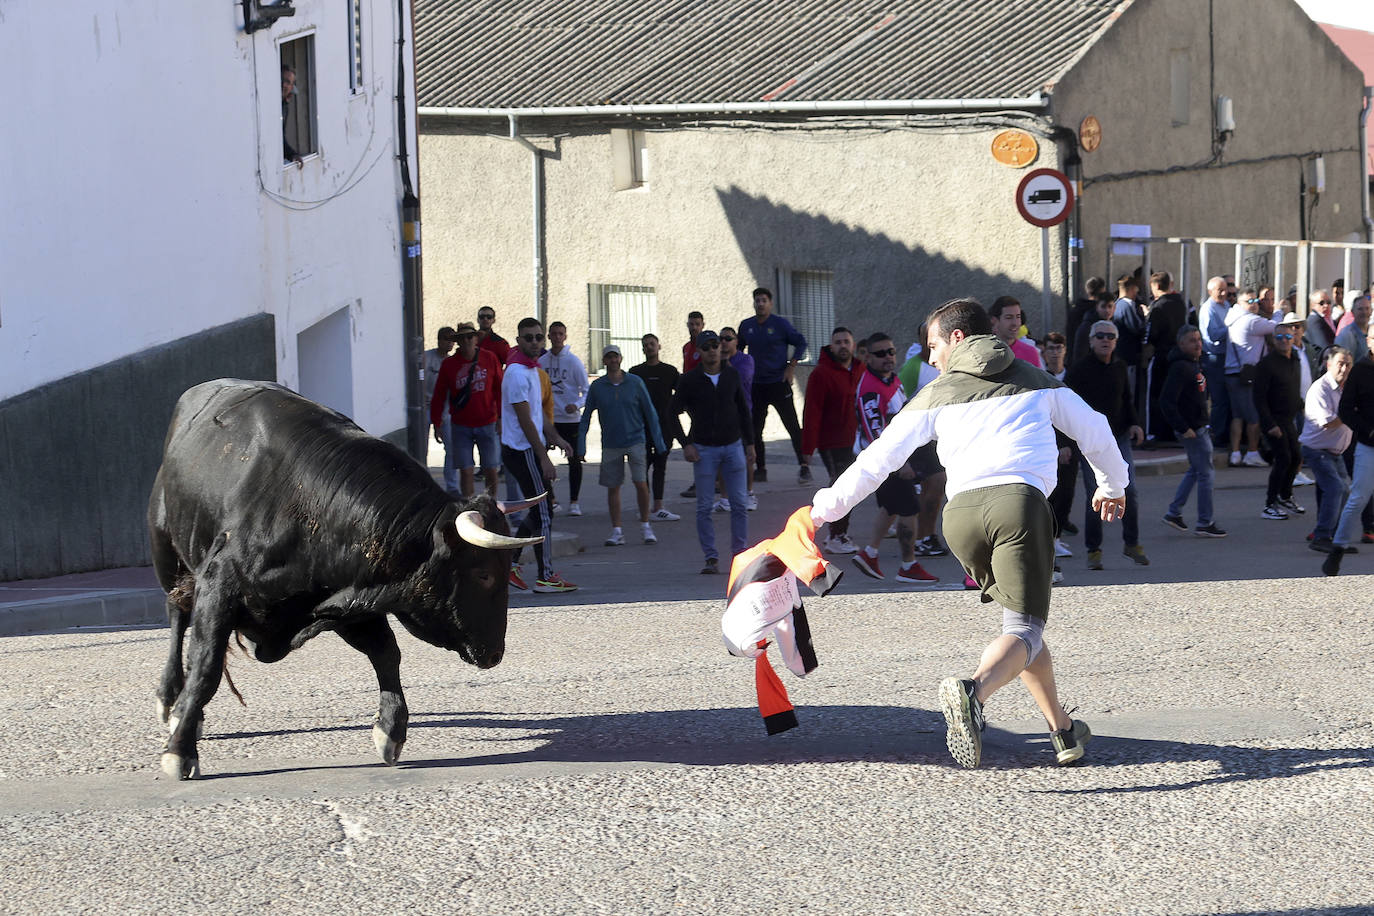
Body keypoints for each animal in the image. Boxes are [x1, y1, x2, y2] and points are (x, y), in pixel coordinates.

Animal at [147, 379, 538, 780]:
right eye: (484, 574)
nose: (494, 653)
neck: (309, 506)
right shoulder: (219, 586)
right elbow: (206, 666)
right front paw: (180, 749)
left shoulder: (352, 598)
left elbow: (386, 653)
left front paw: (391, 730)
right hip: (166, 549)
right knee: (178, 617)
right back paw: (172, 699)